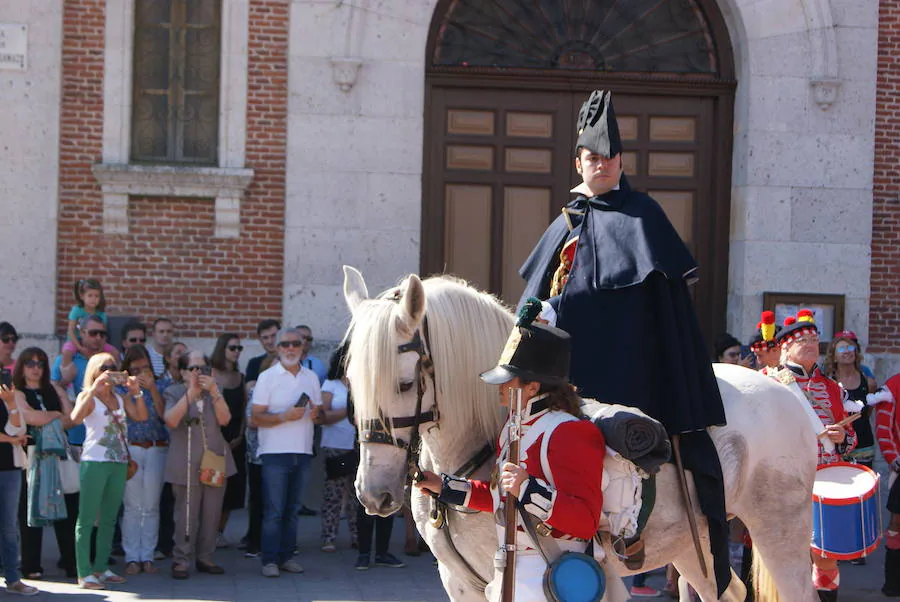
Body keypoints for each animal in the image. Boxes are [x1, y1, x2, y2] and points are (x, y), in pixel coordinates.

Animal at [344, 268, 824, 600]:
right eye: (350, 380)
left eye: (405, 383)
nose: (374, 495)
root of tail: (784, 389)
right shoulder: (460, 582)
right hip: (697, 546)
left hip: (779, 532)